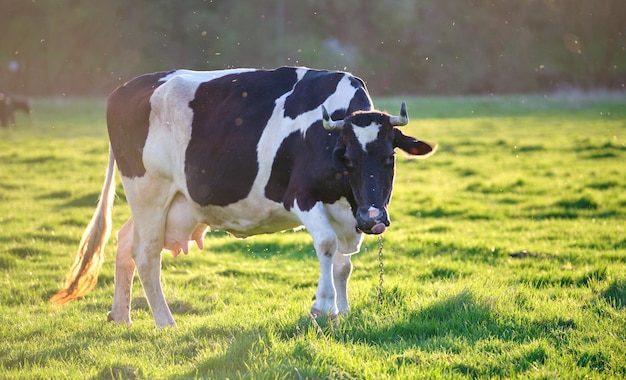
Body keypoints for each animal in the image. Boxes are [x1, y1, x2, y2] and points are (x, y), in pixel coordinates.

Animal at [50, 65, 434, 326]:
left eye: (390, 158)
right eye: (348, 159)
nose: (374, 219)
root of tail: (126, 88)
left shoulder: (347, 213)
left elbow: (343, 264)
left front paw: (343, 311)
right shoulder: (301, 196)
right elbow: (326, 245)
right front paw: (322, 307)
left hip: (166, 200)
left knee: (124, 240)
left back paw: (121, 315)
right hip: (148, 189)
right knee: (146, 254)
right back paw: (165, 322)